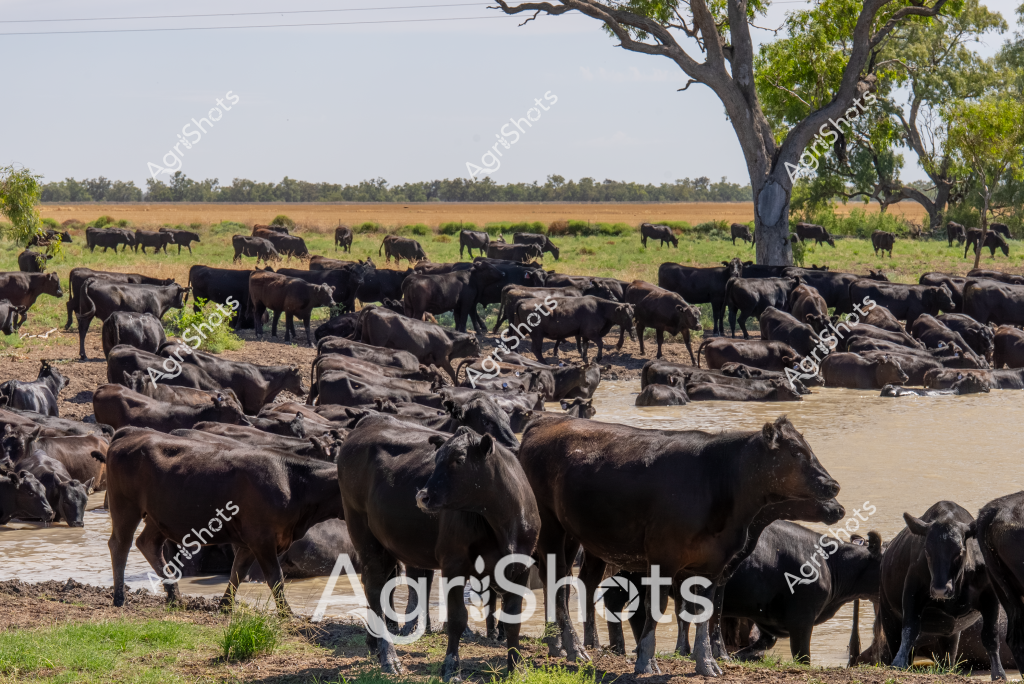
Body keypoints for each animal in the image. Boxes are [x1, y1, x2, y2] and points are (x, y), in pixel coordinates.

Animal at [98, 427, 341, 613]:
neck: (293, 482)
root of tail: (134, 433)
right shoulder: (262, 538)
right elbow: (275, 577)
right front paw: (287, 614)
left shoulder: (249, 542)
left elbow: (237, 573)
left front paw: (225, 605)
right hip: (125, 506)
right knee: (120, 545)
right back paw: (120, 598)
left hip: (160, 518)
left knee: (148, 545)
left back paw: (175, 596)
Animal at [517, 415, 840, 676]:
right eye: (796, 452)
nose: (834, 485)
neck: (717, 481)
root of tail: (546, 421)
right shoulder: (662, 558)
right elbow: (656, 608)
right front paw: (646, 662)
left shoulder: (714, 565)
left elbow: (705, 612)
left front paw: (707, 663)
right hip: (550, 528)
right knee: (557, 583)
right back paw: (571, 647)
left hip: (575, 536)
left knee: (564, 582)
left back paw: (561, 643)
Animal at [879, 501, 1005, 678]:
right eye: (927, 551)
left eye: (959, 551)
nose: (940, 590)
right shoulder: (912, 595)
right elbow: (909, 630)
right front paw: (898, 664)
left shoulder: (990, 598)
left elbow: (991, 637)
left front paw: (999, 674)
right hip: (888, 616)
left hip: (950, 635)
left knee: (948, 658)